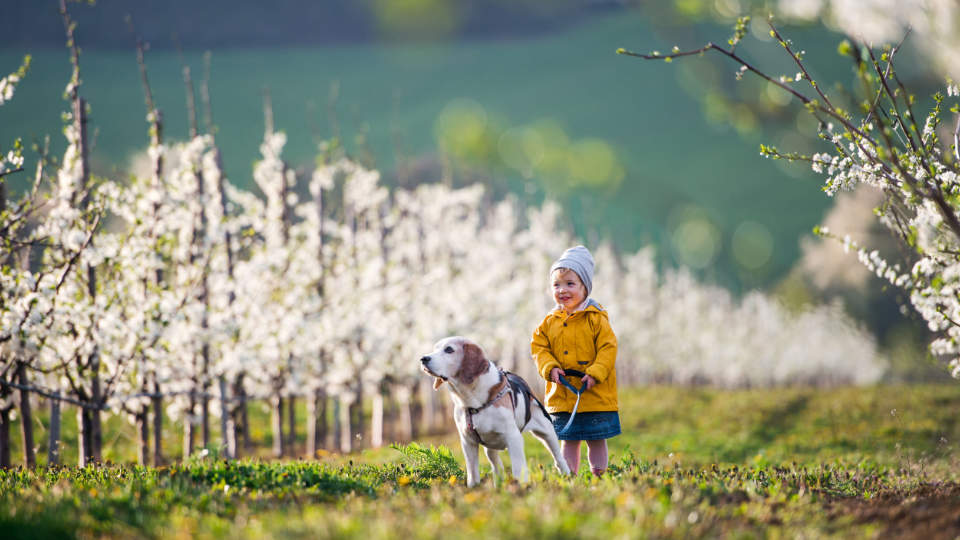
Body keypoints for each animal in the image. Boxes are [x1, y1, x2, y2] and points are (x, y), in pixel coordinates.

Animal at [420, 336, 568, 488]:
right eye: (435, 348)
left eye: (449, 349)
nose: (423, 359)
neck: (472, 403)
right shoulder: (468, 441)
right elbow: (473, 473)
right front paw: (474, 488)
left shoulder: (514, 438)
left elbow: (518, 467)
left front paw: (521, 487)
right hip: (490, 446)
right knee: (496, 464)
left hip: (547, 432)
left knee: (559, 458)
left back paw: (568, 476)